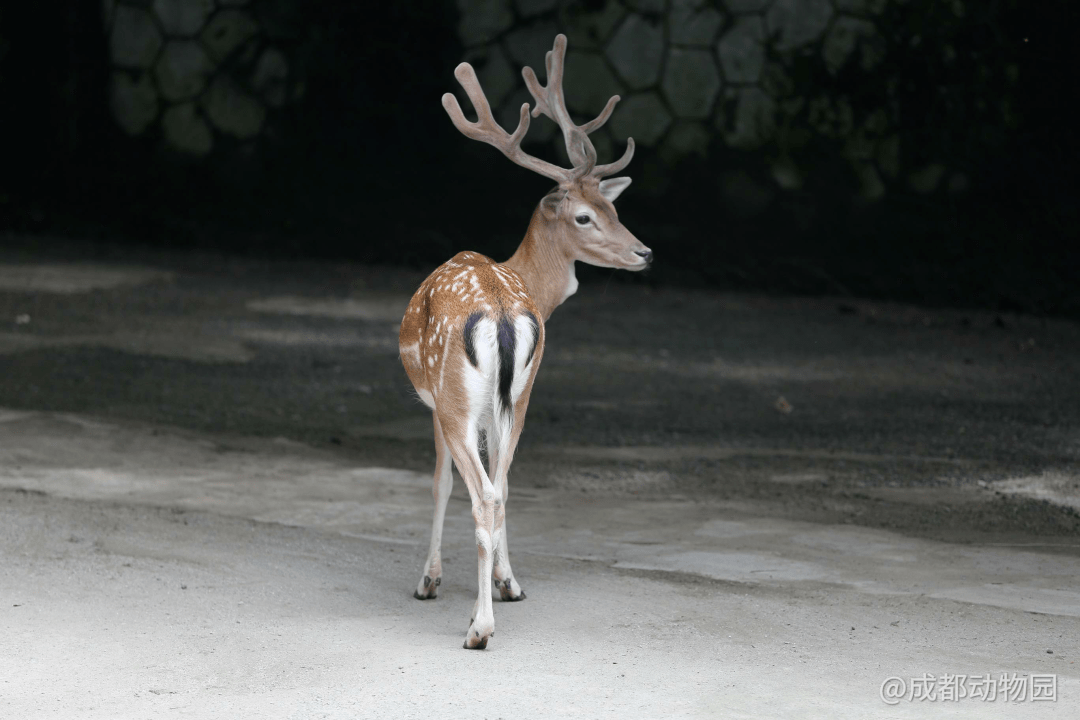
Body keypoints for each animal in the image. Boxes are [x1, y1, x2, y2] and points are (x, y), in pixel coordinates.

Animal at [397, 33, 648, 651]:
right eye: (588, 215)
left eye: (614, 207)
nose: (645, 251)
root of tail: (505, 309)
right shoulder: (507, 402)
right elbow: (506, 482)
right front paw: (510, 581)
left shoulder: (437, 404)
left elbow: (441, 484)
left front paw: (431, 581)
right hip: (519, 392)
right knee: (501, 486)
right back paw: (496, 599)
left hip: (456, 396)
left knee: (482, 493)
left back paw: (479, 629)